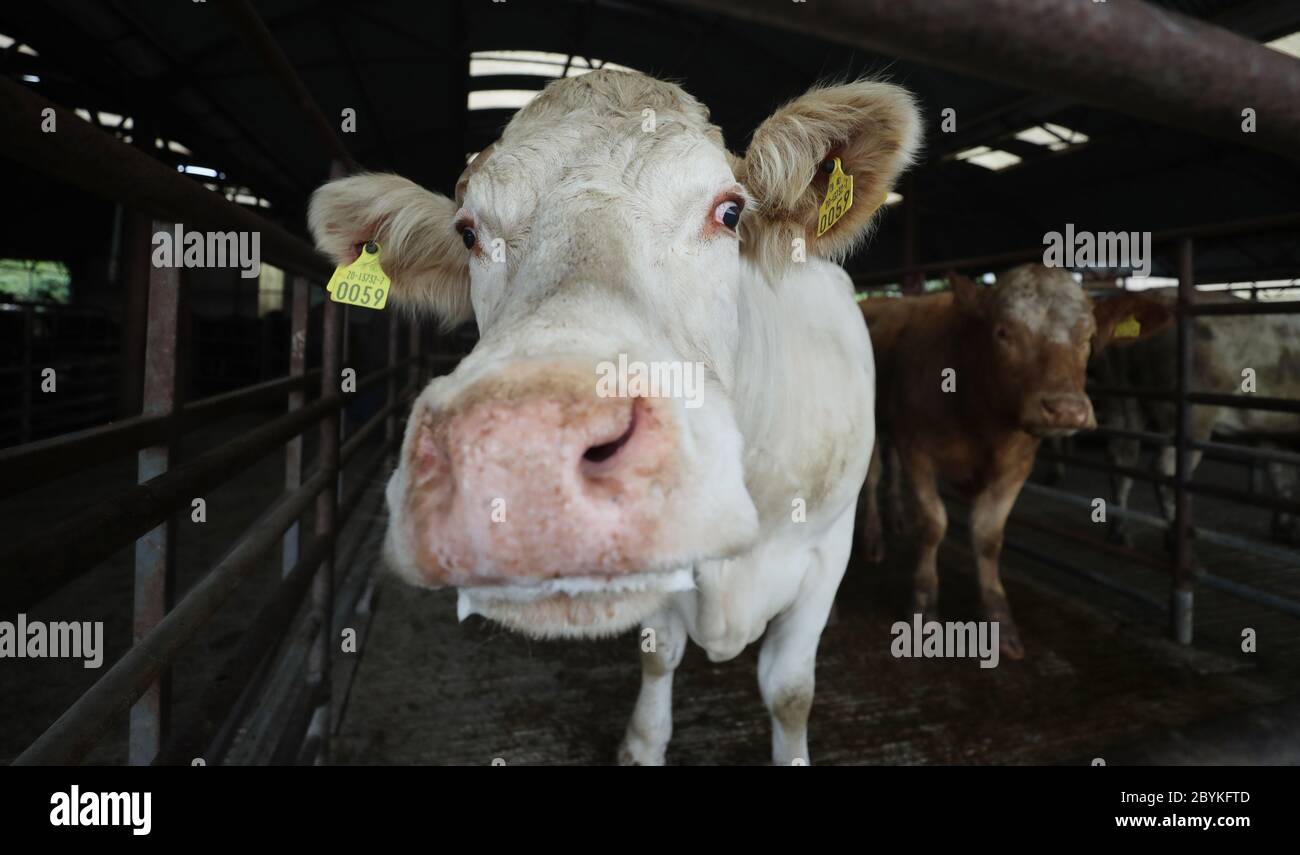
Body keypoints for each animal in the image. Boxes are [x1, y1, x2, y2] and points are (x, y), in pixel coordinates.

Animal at [308, 69, 920, 764]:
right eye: (468, 233)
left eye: (729, 211)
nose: (524, 451)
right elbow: (659, 656)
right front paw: (641, 743)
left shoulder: (823, 552)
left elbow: (790, 692)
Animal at [857, 262, 1175, 654]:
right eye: (1003, 332)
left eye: (1088, 337)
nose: (1065, 409)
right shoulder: (918, 451)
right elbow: (933, 525)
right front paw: (922, 604)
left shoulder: (1016, 466)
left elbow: (988, 535)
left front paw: (1000, 620)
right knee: (872, 476)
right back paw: (873, 540)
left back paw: (897, 518)